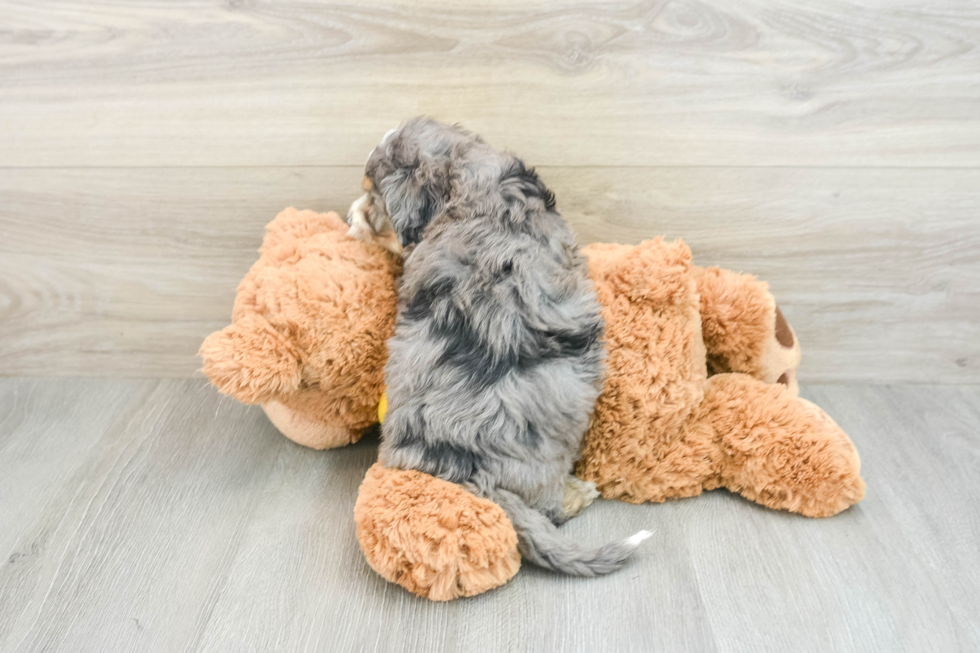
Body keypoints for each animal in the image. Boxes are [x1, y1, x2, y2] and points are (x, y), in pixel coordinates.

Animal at [348, 118, 648, 576]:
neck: (468, 185)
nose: (348, 216)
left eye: (372, 199)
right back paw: (577, 493)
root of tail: (469, 467)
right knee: (549, 510)